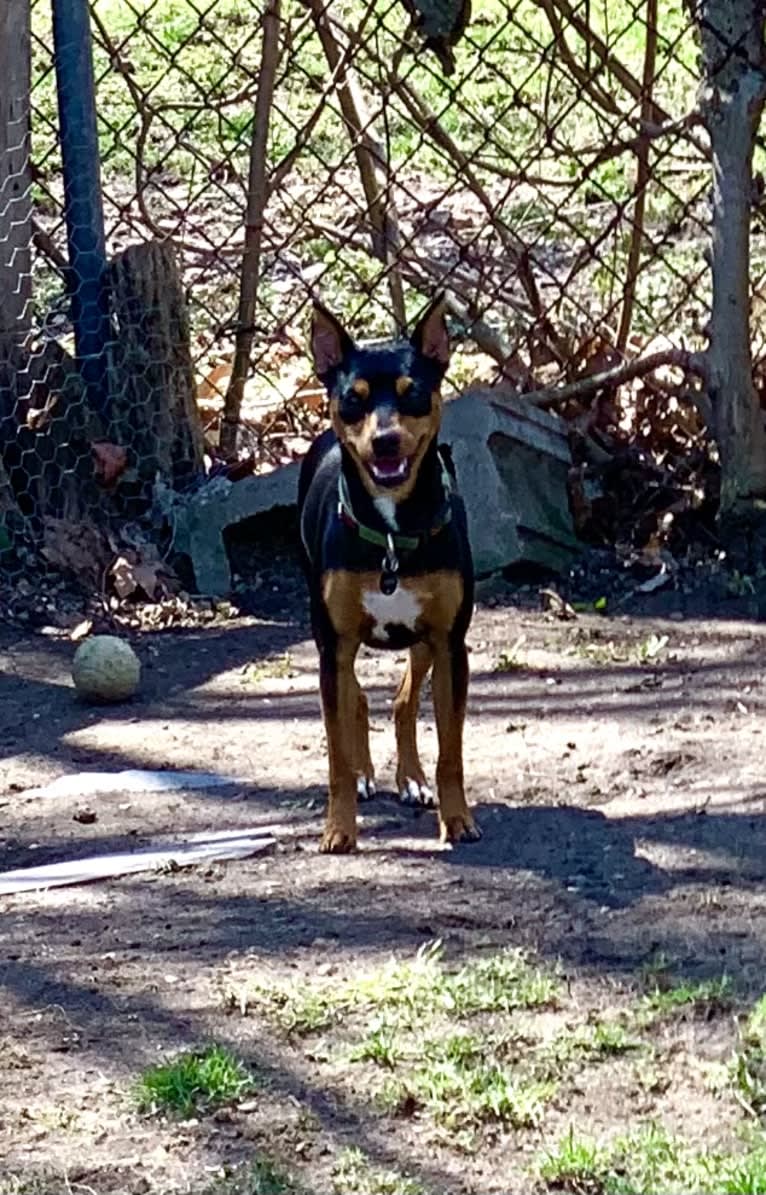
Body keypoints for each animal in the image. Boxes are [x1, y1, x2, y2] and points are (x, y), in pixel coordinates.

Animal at [297, 293, 480, 855]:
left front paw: (456, 818)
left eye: (413, 392)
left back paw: (411, 779)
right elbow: (335, 752)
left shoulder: (449, 643)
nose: (385, 441)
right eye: (352, 399)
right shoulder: (333, 645)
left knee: (402, 700)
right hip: (334, 640)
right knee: (355, 697)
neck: (393, 532)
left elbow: (451, 750)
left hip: (422, 641)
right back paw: (366, 775)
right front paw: (339, 827)